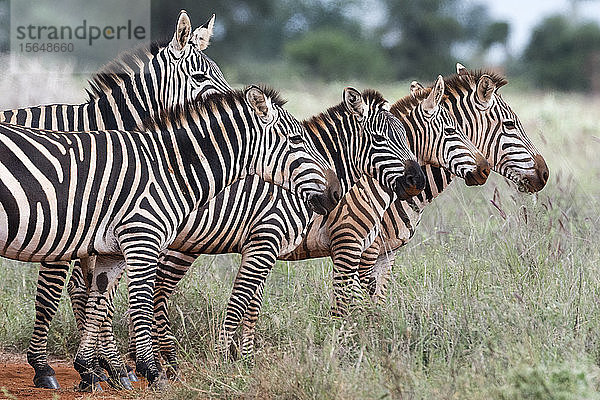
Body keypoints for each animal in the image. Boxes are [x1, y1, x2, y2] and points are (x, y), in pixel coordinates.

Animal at [0, 10, 234, 390]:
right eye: (199, 77)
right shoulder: (62, 227)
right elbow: (54, 295)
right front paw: (47, 367)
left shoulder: (96, 232)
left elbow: (98, 295)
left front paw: (105, 367)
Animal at [0, 86, 340, 390]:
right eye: (296, 140)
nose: (336, 193)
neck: (169, 171)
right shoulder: (143, 238)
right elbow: (141, 303)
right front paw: (153, 373)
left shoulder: (113, 251)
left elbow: (100, 301)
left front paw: (89, 369)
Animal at [138, 74, 490, 362]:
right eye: (451, 130)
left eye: (405, 137)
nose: (484, 170)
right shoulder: (346, 245)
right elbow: (343, 304)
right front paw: (341, 351)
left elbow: (257, 307)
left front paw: (246, 359)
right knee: (155, 293)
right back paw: (162, 357)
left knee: (155, 292)